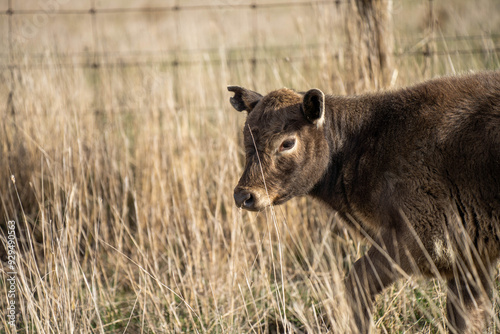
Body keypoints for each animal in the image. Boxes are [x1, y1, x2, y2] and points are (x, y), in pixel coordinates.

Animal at [229, 70, 500, 332]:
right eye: (246, 138)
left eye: (287, 142)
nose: (244, 195)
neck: (363, 141)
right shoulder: (470, 263)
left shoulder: (416, 242)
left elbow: (356, 282)